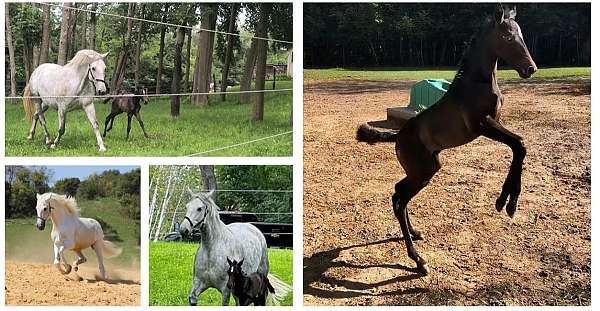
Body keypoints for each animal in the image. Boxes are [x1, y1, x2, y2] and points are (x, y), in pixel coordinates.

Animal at [356, 6, 540, 276]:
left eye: (522, 35)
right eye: (507, 37)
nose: (530, 69)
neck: (478, 83)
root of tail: (398, 136)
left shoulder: (493, 124)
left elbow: (519, 145)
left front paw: (505, 202)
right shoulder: (482, 125)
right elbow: (520, 144)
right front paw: (507, 204)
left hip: (427, 168)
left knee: (398, 192)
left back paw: (415, 233)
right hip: (422, 172)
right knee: (399, 199)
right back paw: (418, 260)